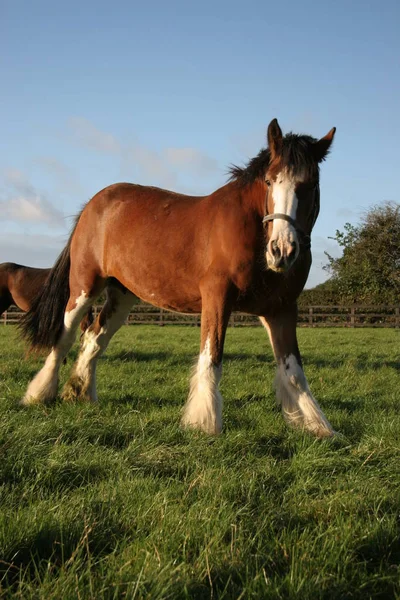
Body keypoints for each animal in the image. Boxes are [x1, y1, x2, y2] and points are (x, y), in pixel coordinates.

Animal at [20, 118, 336, 436]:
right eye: (270, 181)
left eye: (311, 184)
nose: (282, 250)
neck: (253, 232)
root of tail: (93, 204)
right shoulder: (217, 298)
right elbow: (211, 358)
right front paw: (204, 422)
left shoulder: (281, 308)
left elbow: (293, 371)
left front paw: (317, 426)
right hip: (84, 287)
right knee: (65, 336)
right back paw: (39, 394)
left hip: (122, 296)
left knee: (94, 337)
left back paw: (81, 393)